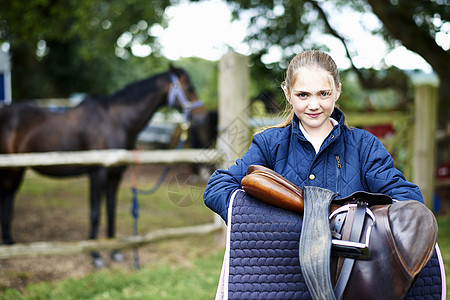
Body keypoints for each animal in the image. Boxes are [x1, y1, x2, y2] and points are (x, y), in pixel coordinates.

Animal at [0, 67, 200, 268]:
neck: (116, 121)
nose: (201, 116)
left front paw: (115, 251)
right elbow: (95, 213)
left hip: (17, 171)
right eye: (189, 88)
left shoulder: (115, 175)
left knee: (8, 200)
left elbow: (111, 212)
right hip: (11, 171)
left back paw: (11, 244)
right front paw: (95, 255)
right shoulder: (98, 174)